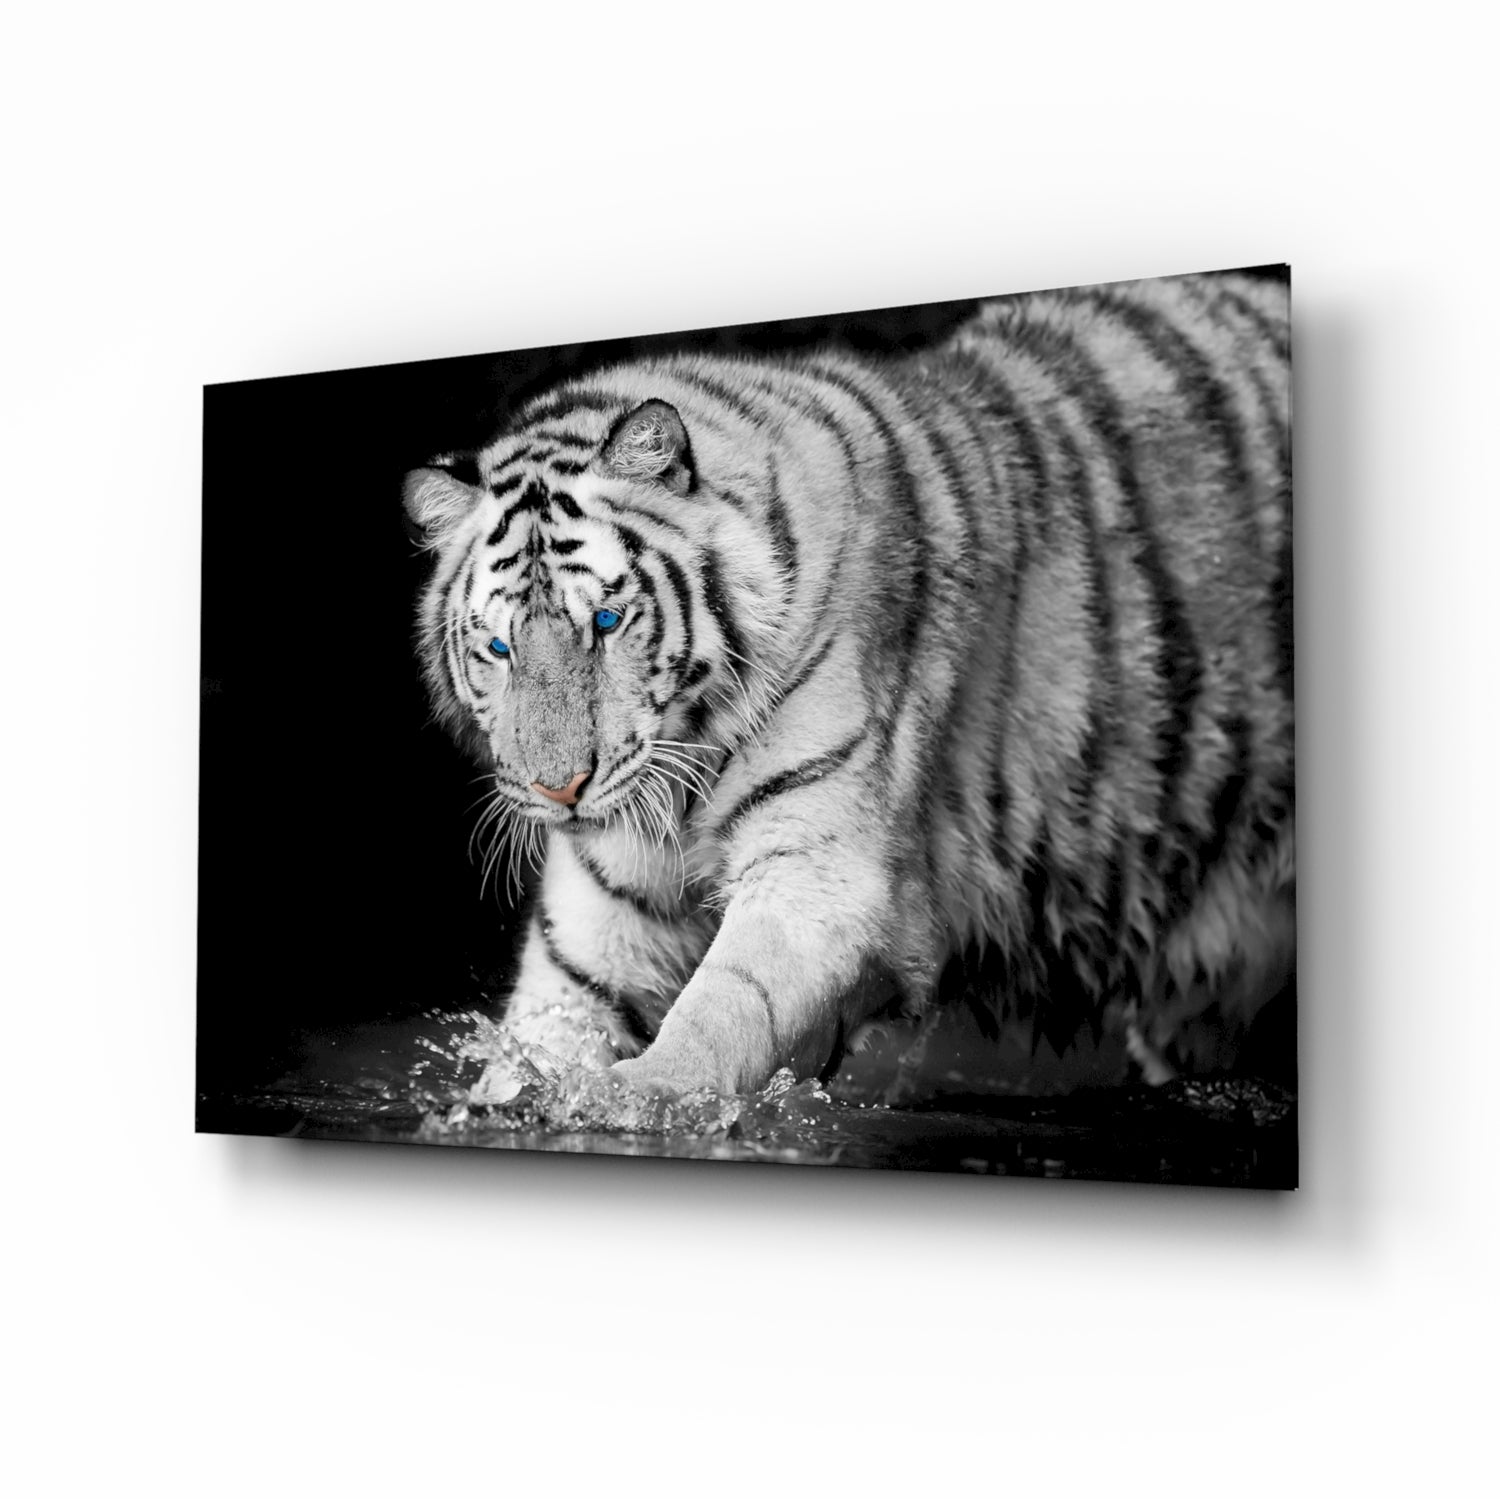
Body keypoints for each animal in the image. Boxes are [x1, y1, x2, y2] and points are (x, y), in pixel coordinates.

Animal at [403, 269, 1294, 1104]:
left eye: (609, 621)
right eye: (498, 647)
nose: (561, 789)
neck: (684, 765)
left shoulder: (821, 875)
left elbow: (724, 1007)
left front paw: (645, 1093)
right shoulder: (600, 910)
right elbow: (548, 1026)